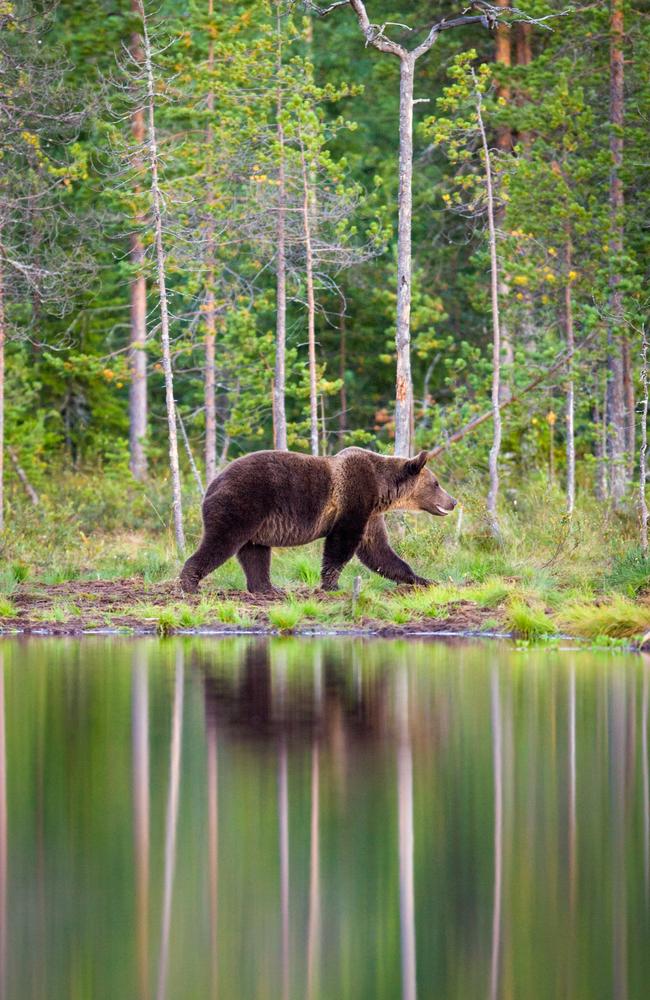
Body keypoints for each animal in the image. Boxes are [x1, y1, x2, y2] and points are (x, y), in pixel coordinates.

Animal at [178, 446, 456, 592]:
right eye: (436, 483)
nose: (452, 501)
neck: (381, 489)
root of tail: (211, 484)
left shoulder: (371, 514)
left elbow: (378, 551)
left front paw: (424, 579)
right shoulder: (355, 497)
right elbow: (342, 542)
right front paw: (331, 584)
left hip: (256, 521)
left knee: (255, 553)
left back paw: (267, 588)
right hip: (242, 503)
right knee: (222, 542)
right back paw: (190, 583)